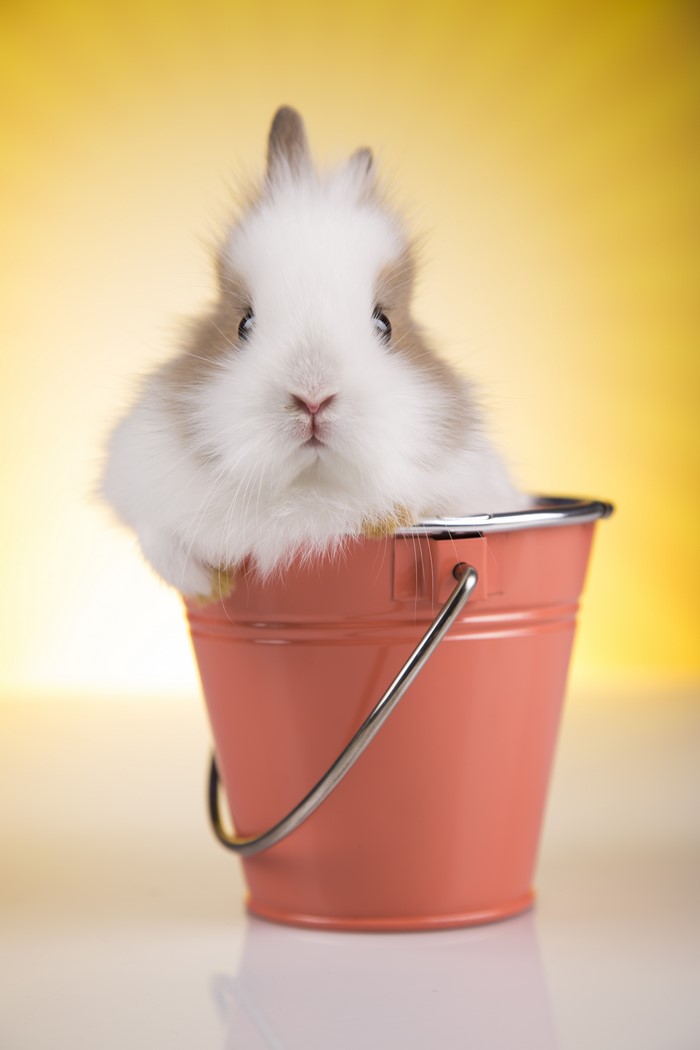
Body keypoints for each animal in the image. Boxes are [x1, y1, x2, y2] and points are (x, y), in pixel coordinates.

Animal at [101, 106, 529, 600]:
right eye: (243, 323)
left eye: (384, 323)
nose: (312, 398)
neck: (308, 489)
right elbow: (157, 538)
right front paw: (206, 585)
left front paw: (388, 515)